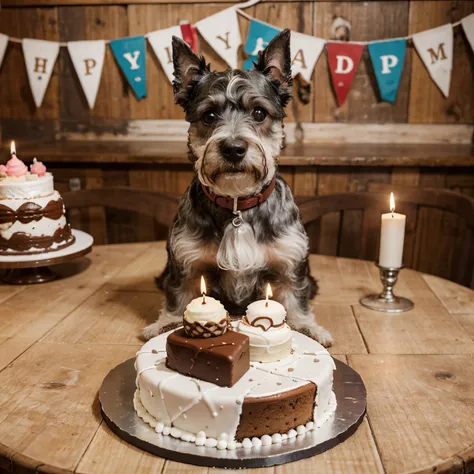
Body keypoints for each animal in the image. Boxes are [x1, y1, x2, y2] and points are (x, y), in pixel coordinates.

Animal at [144, 30, 334, 348]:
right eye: (208, 116)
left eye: (258, 112)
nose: (233, 148)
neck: (237, 205)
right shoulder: (186, 264)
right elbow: (178, 297)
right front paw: (166, 323)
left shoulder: (289, 264)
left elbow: (296, 300)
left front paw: (308, 328)